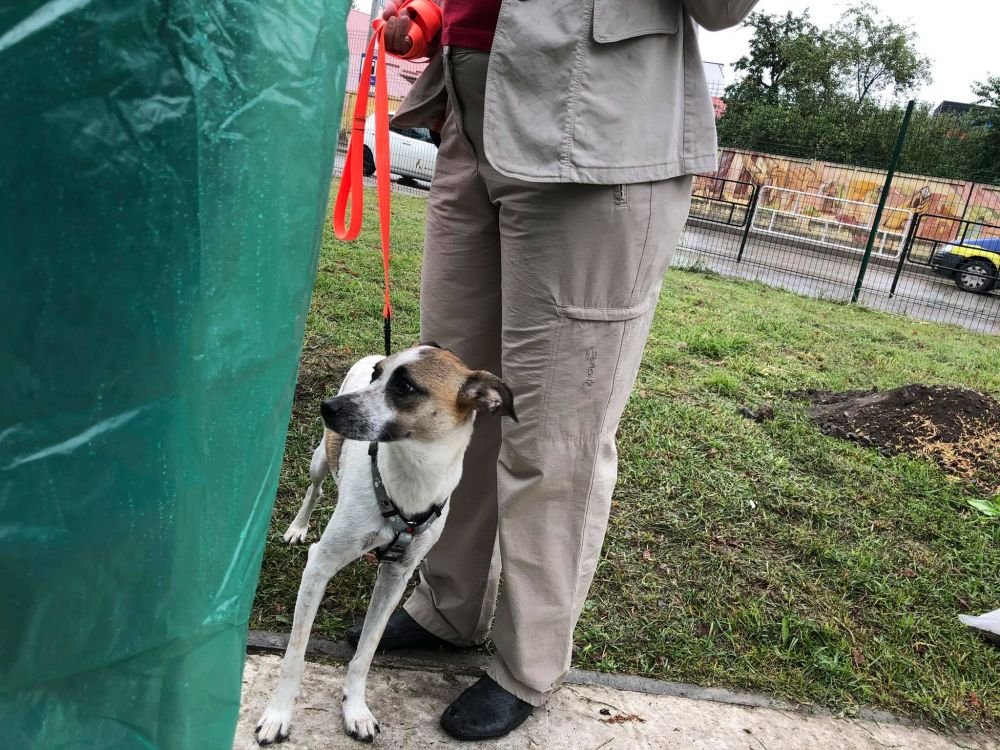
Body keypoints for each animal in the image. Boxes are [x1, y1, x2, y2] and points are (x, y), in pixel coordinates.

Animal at [254, 346, 516, 748]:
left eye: (405, 386)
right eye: (378, 375)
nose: (327, 407)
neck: (412, 480)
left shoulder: (397, 575)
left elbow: (366, 652)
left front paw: (355, 710)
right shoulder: (320, 565)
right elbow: (295, 653)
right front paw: (278, 715)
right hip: (321, 458)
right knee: (315, 489)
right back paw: (298, 526)